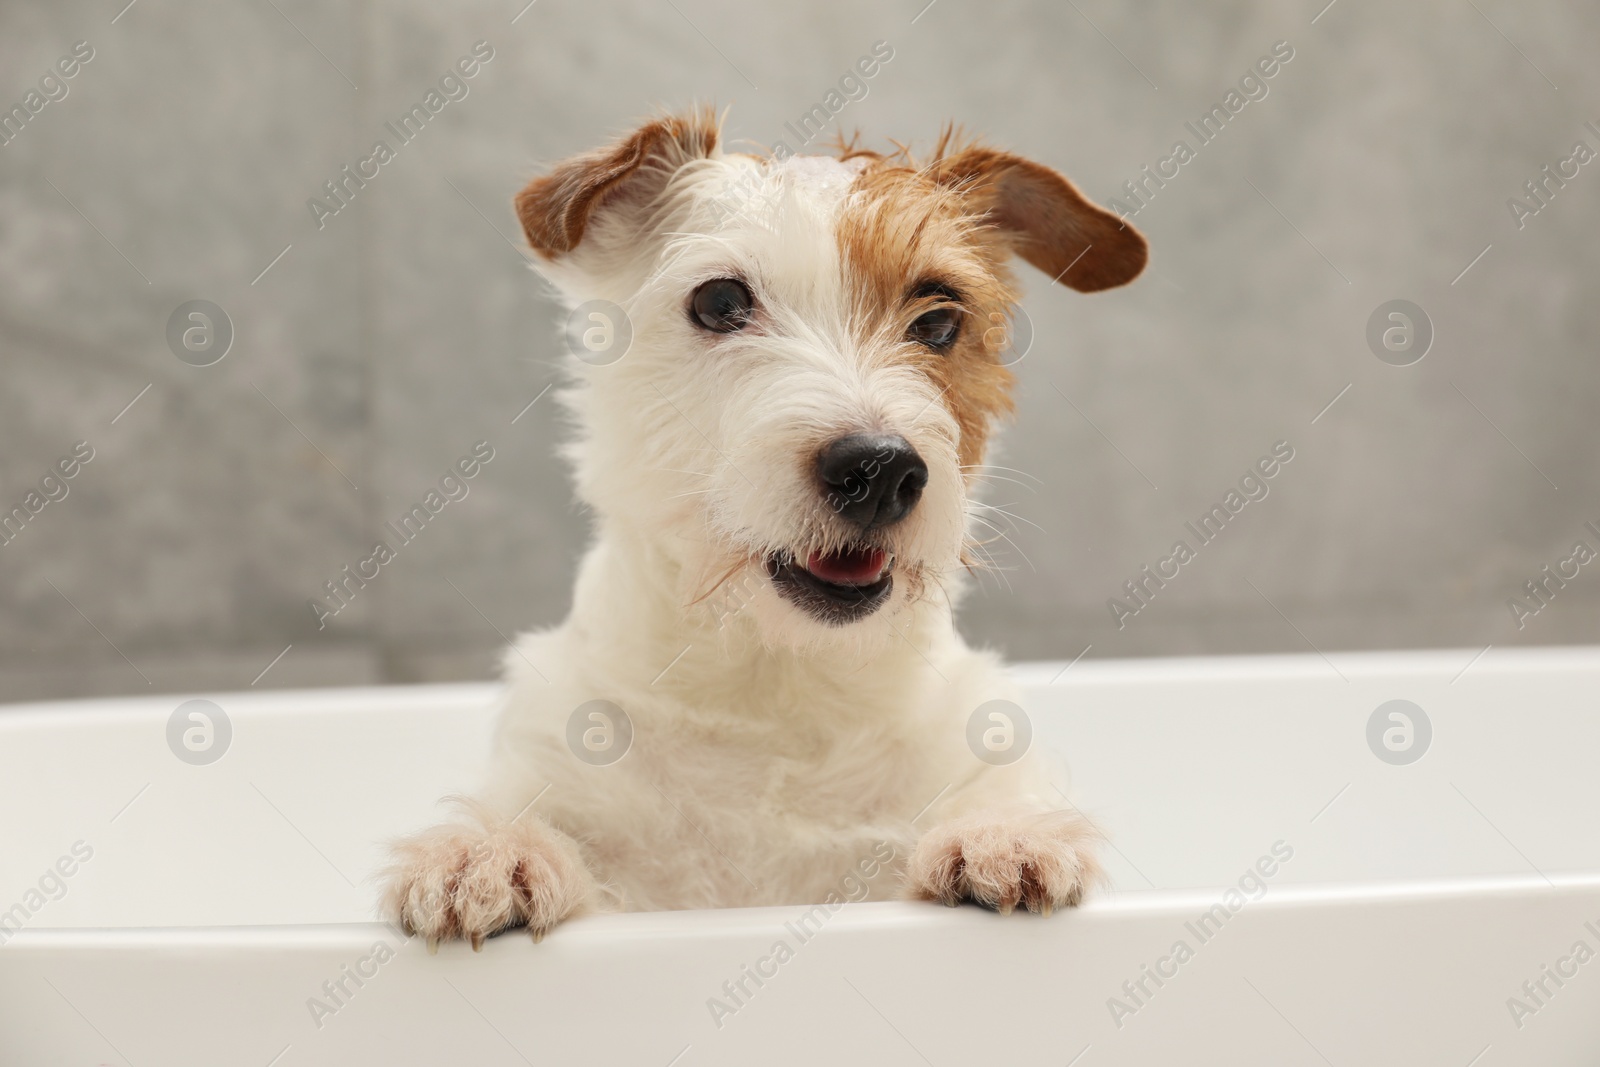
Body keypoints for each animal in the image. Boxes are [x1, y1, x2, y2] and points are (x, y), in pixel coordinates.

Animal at [380, 106, 1145, 953]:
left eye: (941, 319)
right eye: (720, 302)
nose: (879, 469)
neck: (775, 682)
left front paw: (1001, 834)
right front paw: (491, 850)